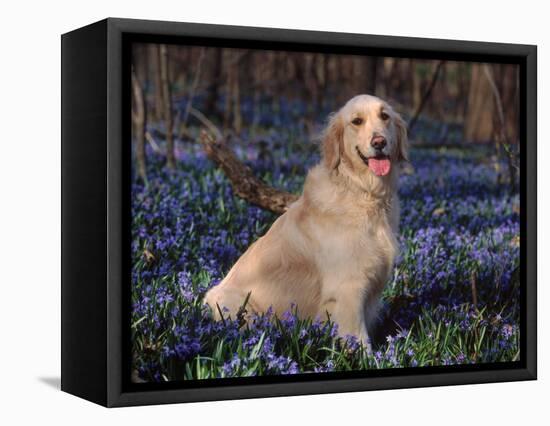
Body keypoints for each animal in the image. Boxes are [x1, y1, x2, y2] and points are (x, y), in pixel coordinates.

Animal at [205, 95, 408, 348]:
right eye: (357, 121)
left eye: (385, 116)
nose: (379, 141)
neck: (362, 191)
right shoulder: (348, 289)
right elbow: (359, 339)